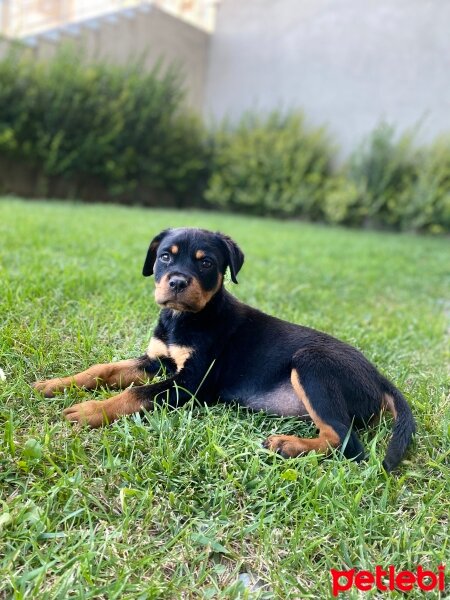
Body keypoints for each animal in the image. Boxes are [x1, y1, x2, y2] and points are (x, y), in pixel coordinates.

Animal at [33, 227, 416, 472]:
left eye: (205, 263)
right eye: (164, 257)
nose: (177, 282)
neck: (184, 319)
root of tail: (380, 379)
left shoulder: (191, 383)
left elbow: (134, 394)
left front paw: (89, 411)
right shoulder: (158, 361)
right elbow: (104, 369)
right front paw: (55, 384)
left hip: (312, 365)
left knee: (348, 442)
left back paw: (288, 445)